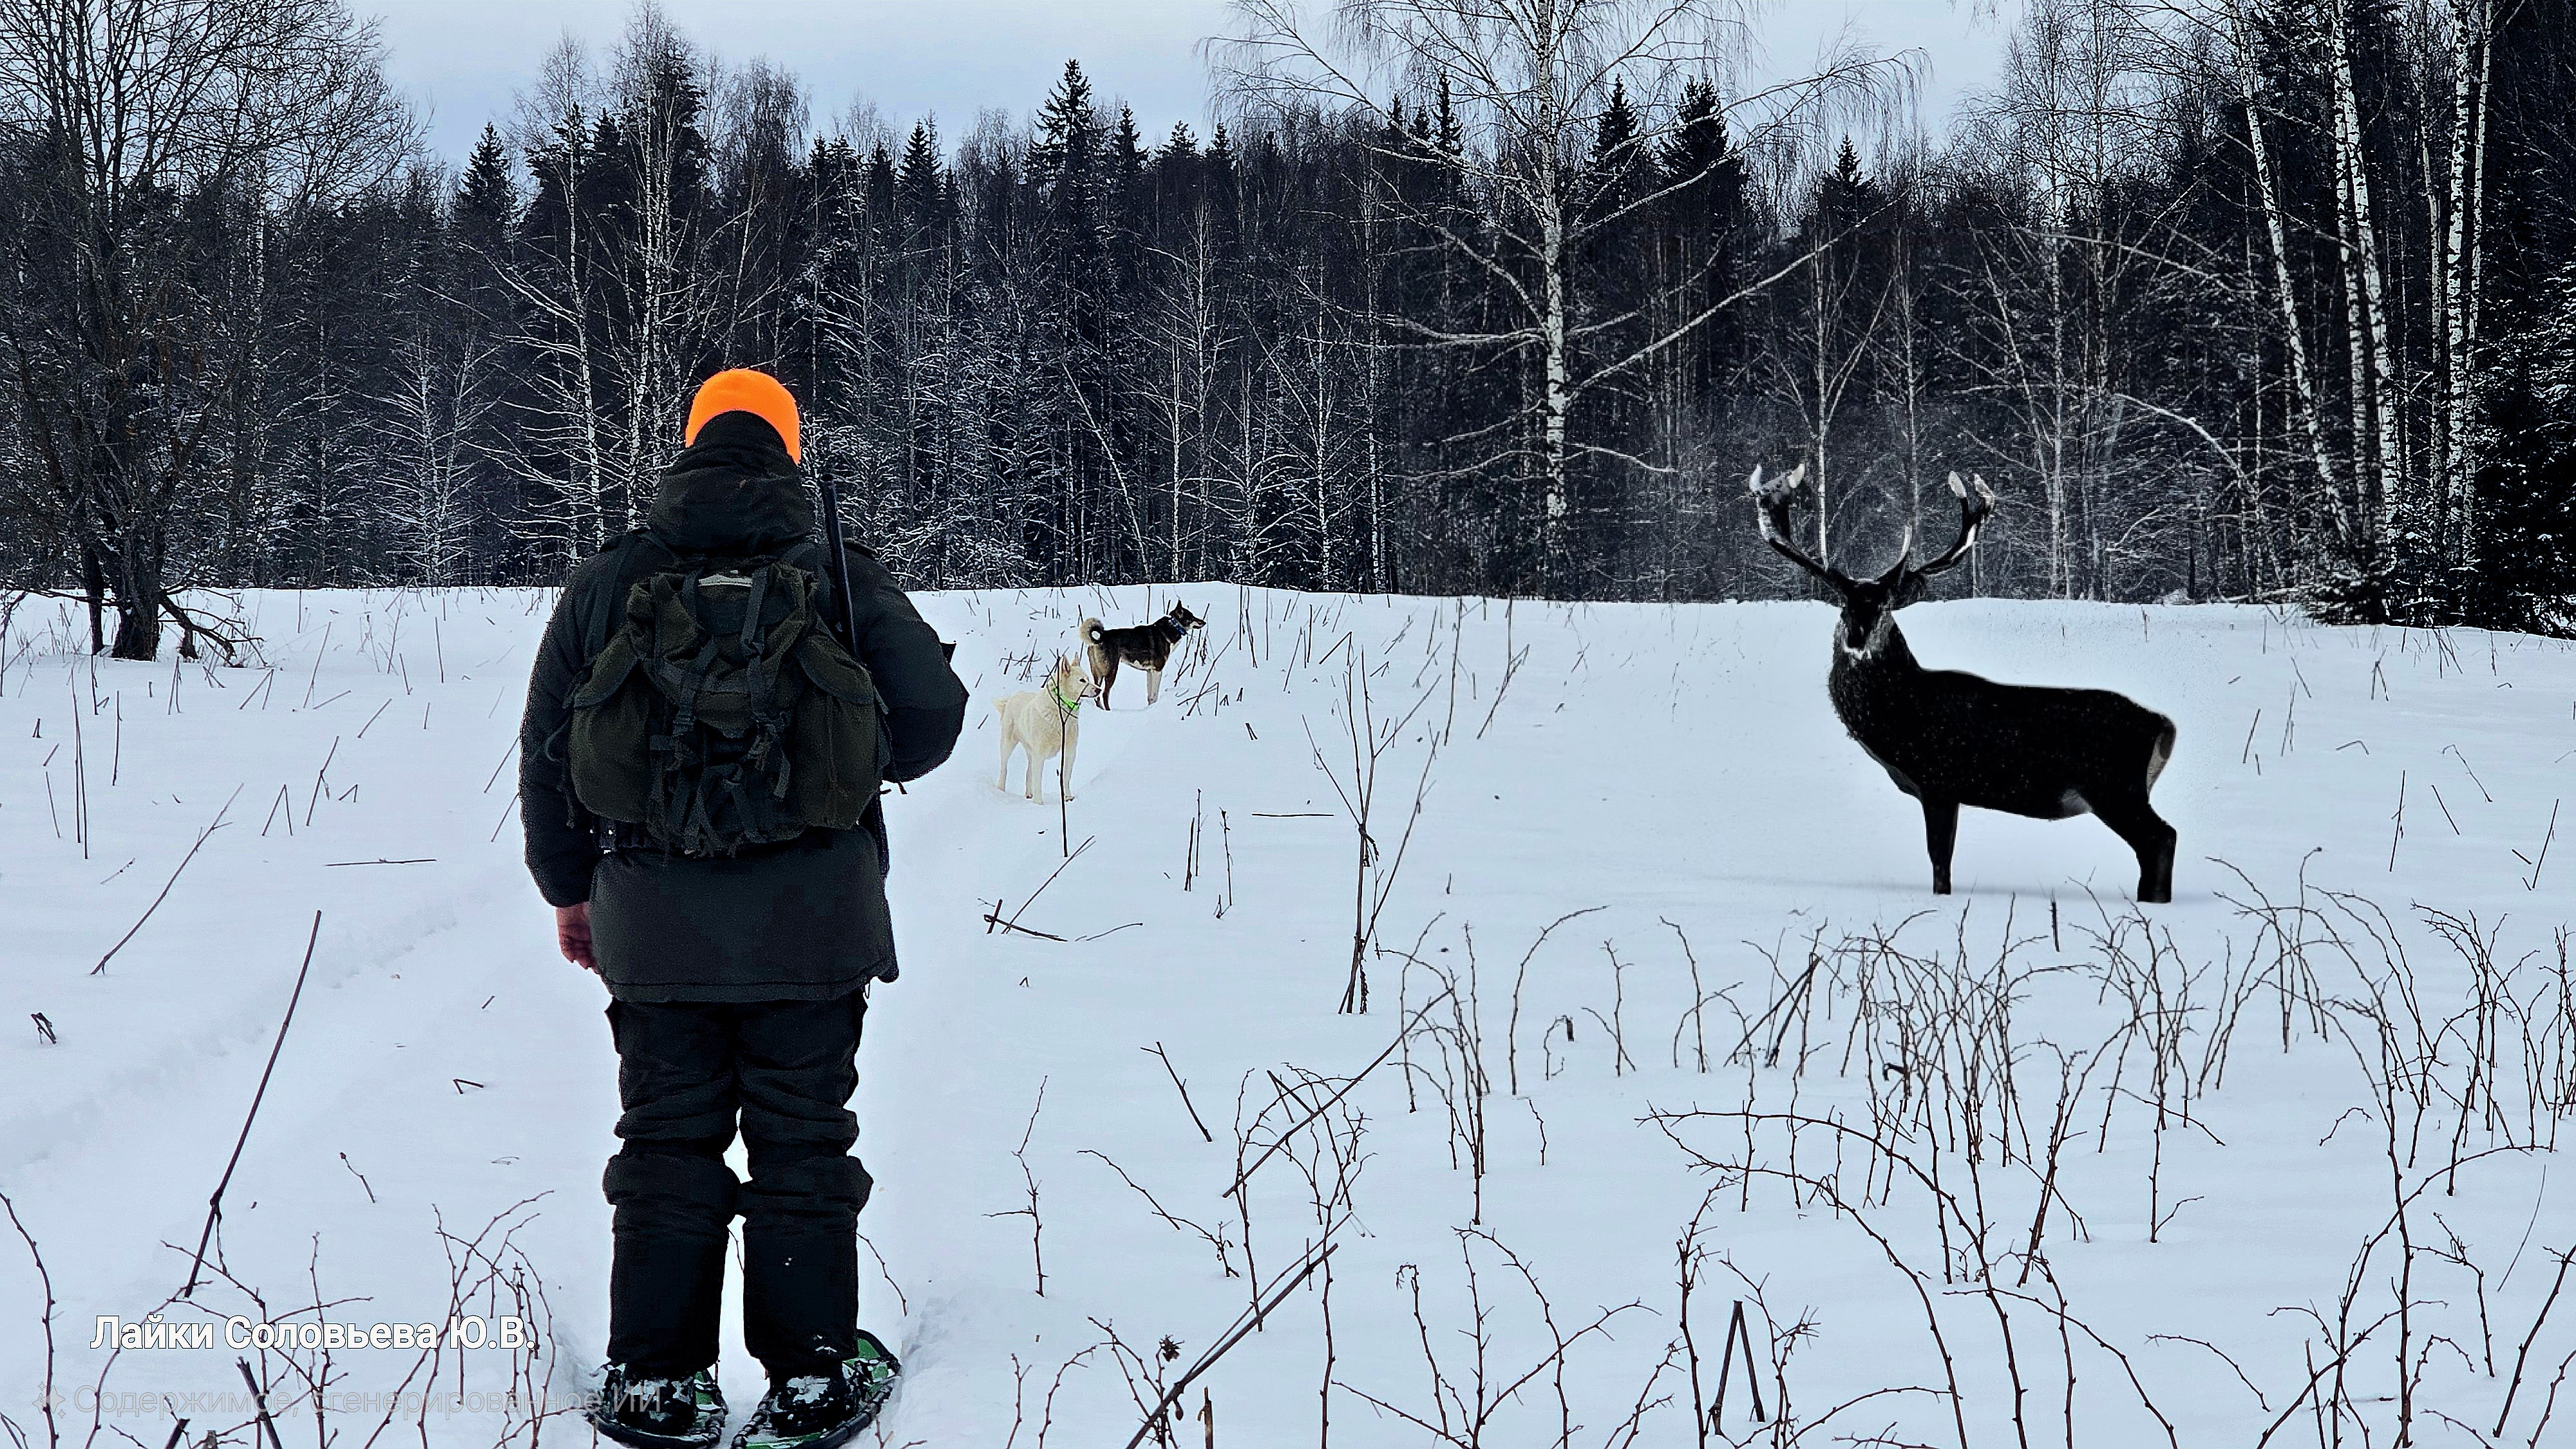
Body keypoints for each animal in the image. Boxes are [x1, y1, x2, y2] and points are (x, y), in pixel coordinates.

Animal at [989, 654, 1092, 799]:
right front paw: (1039, 802)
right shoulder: (1040, 754)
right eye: (1082, 681)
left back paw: (1029, 794)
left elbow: (1066, 777)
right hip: (1008, 744)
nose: (1099, 690)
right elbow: (1038, 782)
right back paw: (1001, 790)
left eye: (1088, 679)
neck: (1061, 710)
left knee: (1028, 772)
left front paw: (1067, 797)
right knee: (1004, 768)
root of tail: (1011, 698)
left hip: (1031, 750)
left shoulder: (1070, 750)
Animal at [1087, 600, 1206, 706]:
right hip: (1111, 671)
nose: (1204, 622)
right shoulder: (1158, 670)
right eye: (1192, 617)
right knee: (1105, 694)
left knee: (1097, 695)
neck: (1172, 627)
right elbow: (1154, 695)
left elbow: (1150, 697)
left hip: (1097, 674)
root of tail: (1099, 639)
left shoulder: (1150, 671)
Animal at [1752, 461, 2174, 897]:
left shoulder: (1940, 781)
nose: (1856, 638)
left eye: (1885, 606)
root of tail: (2164, 725)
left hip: (2114, 786)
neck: (1897, 722)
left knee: (2161, 838)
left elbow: (1940, 863)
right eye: (1843, 606)